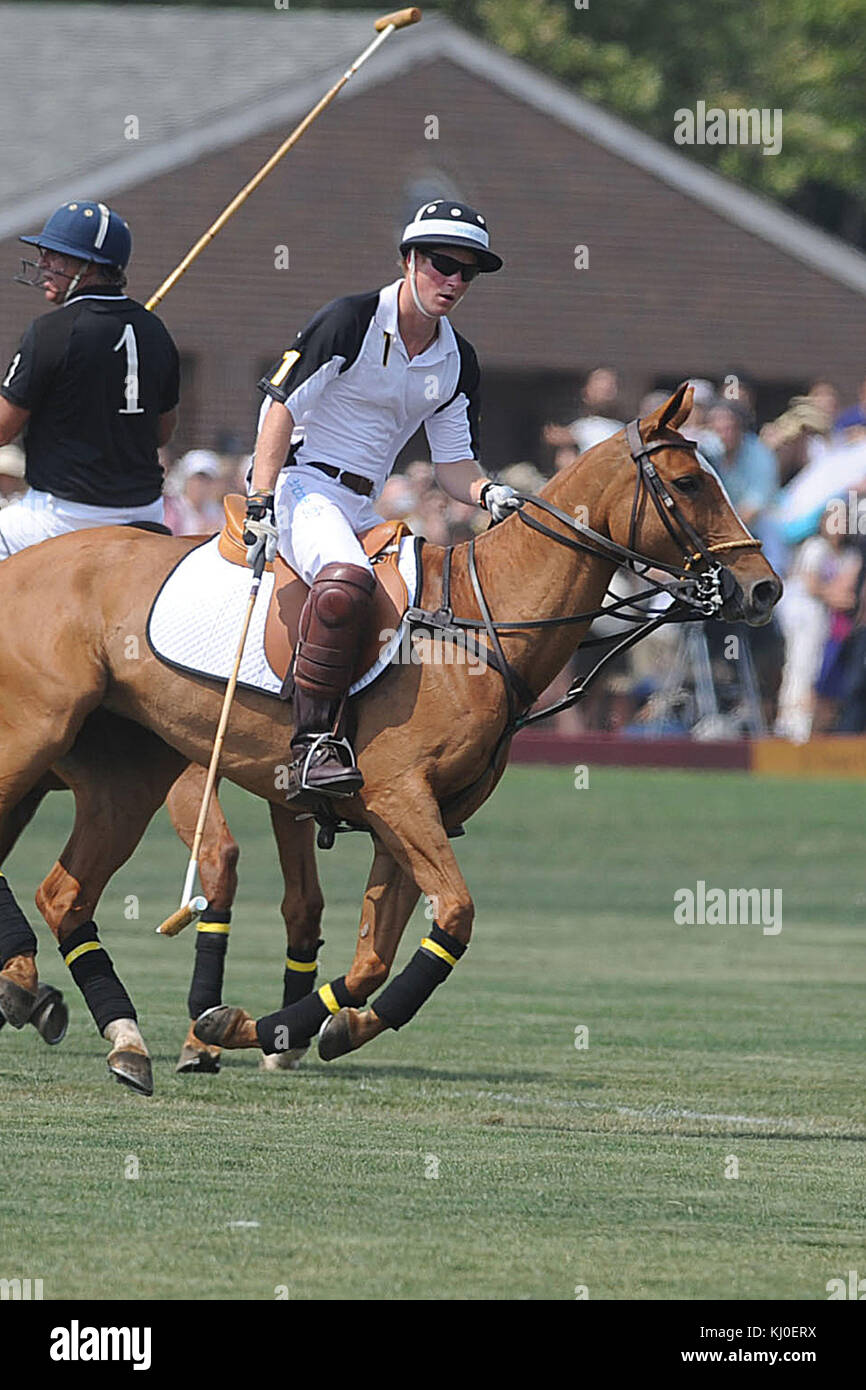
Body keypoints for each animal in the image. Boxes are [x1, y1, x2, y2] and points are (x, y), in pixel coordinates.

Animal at [0, 386, 778, 1089]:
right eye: (687, 482)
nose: (764, 588)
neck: (479, 621)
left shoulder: (412, 817)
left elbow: (372, 957)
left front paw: (271, 1027)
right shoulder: (398, 798)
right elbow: (454, 916)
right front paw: (252, 1029)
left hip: (126, 776)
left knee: (66, 895)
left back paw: (119, 1038)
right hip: (36, 743)